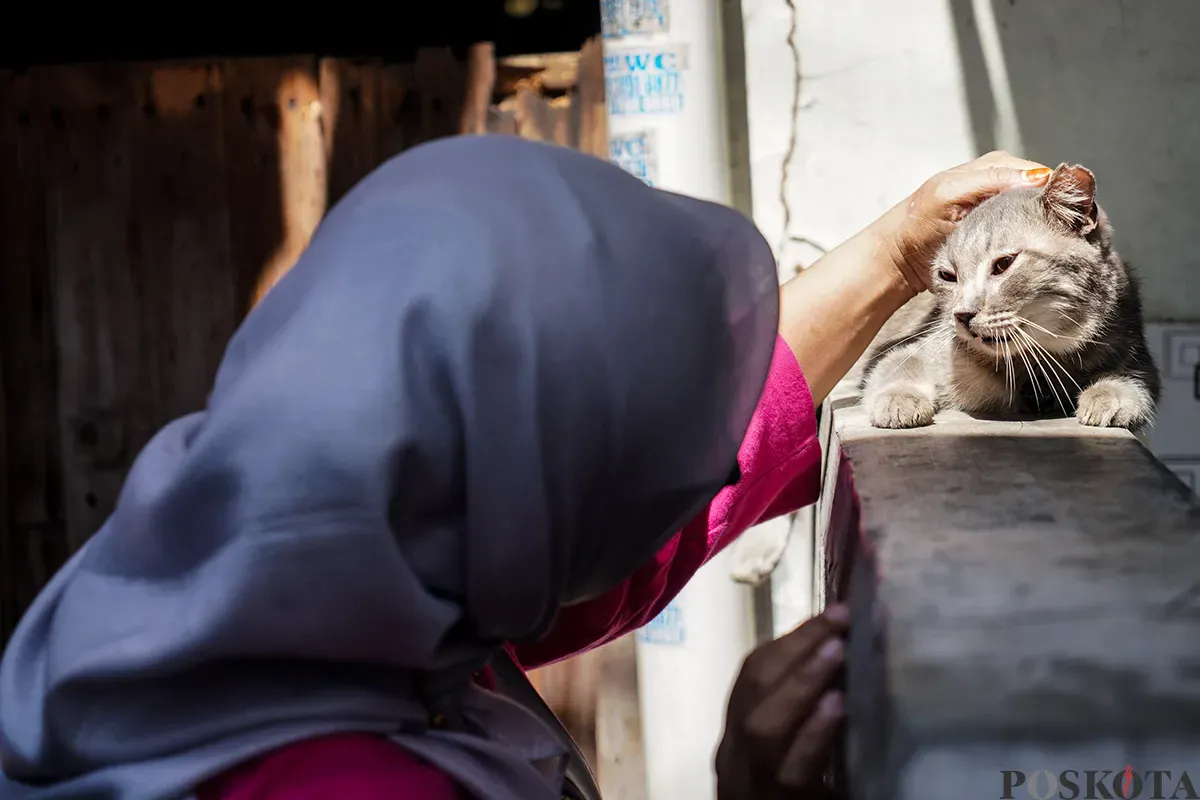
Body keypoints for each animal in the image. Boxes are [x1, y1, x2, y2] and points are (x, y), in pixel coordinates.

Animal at [864, 161, 1161, 431]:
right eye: (947, 275)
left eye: (1004, 263)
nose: (962, 315)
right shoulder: (910, 349)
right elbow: (899, 368)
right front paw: (899, 400)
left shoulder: (1135, 356)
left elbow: (1131, 380)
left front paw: (1108, 394)